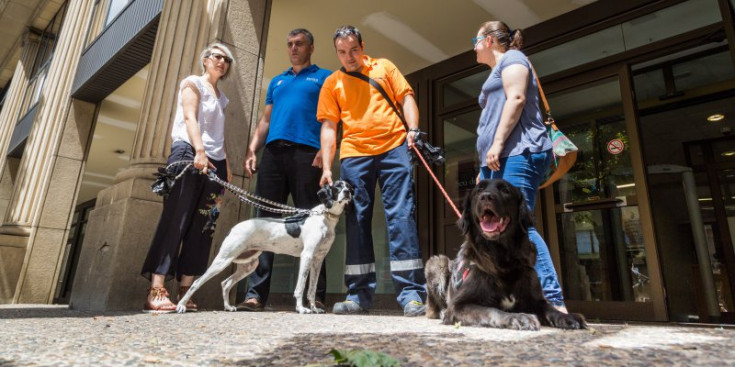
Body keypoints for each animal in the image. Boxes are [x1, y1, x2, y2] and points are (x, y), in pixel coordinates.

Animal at [175, 181, 354, 314]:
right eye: (337, 187)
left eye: (349, 186)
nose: (347, 192)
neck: (325, 217)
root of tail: (235, 227)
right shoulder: (307, 256)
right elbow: (300, 287)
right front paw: (301, 308)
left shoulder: (318, 260)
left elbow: (312, 289)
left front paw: (315, 308)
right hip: (223, 260)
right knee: (197, 282)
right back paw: (181, 305)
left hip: (248, 265)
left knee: (225, 283)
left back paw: (227, 306)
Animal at [426, 180, 588, 332]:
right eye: (479, 190)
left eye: (505, 190)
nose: (486, 196)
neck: (501, 256)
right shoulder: (458, 306)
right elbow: (491, 310)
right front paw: (519, 317)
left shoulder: (534, 298)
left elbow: (548, 308)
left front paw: (567, 317)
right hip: (437, 262)